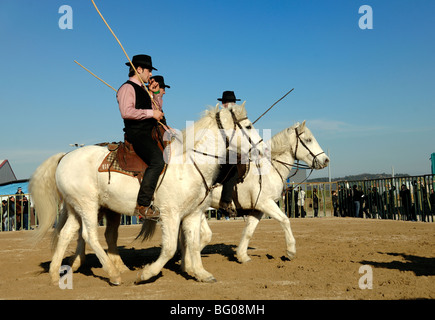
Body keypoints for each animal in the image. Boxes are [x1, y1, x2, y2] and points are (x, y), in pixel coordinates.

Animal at [30, 103, 264, 284]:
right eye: (248, 126)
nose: (262, 150)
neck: (189, 163)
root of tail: (65, 156)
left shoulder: (193, 215)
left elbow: (194, 243)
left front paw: (200, 272)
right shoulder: (170, 214)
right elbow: (169, 248)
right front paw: (147, 273)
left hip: (75, 207)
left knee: (66, 234)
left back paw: (55, 274)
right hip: (88, 205)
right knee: (90, 235)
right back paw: (113, 274)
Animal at [198, 121, 330, 264]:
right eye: (308, 140)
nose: (326, 160)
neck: (269, 169)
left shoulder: (258, 209)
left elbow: (249, 231)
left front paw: (242, 256)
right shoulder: (266, 203)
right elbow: (285, 220)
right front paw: (290, 251)